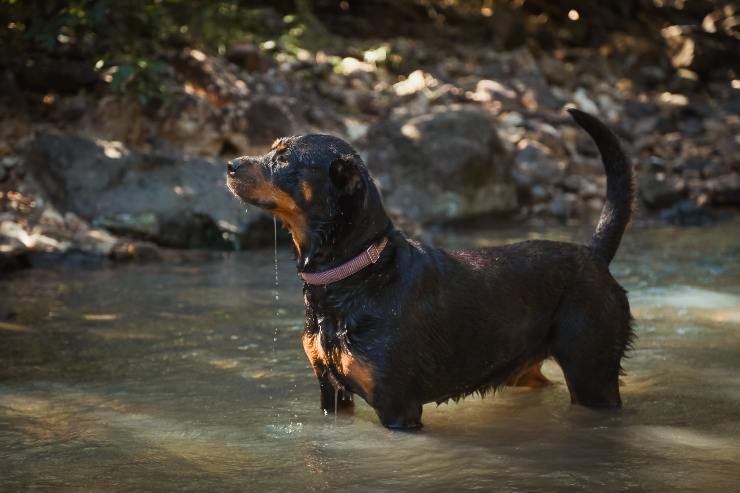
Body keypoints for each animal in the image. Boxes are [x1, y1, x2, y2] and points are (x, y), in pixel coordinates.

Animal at [227, 109, 636, 428]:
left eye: (283, 159)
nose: (230, 165)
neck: (353, 275)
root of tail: (593, 254)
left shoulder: (397, 406)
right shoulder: (332, 393)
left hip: (592, 374)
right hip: (527, 369)